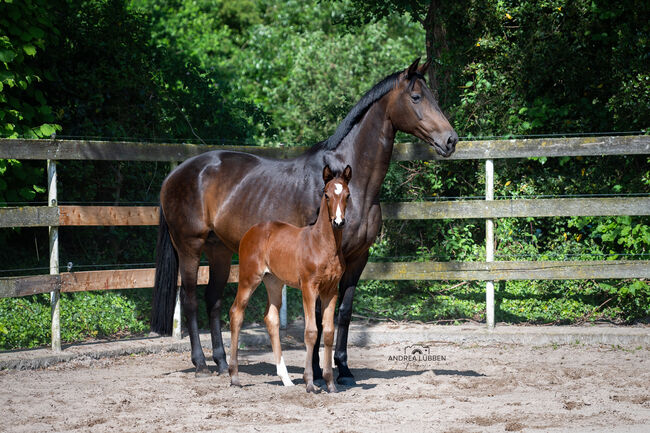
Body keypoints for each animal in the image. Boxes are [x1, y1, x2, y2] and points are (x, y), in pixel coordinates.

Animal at [228, 165, 350, 392]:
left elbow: (328, 332)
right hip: (249, 278)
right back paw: (234, 376)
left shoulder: (331, 290)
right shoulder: (309, 287)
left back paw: (285, 379)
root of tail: (251, 231)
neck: (323, 245)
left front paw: (330, 384)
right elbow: (311, 332)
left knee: (271, 318)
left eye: (347, 194)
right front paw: (310, 383)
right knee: (236, 313)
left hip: (274, 282)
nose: (338, 222)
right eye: (327, 195)